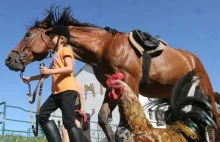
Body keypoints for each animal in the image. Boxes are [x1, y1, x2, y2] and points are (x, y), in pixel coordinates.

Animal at [4, 6, 219, 141]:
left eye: (28, 35)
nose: (9, 60)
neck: (104, 46)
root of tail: (193, 59)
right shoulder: (112, 85)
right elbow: (103, 118)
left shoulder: (130, 82)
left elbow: (125, 123)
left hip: (206, 92)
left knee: (214, 121)